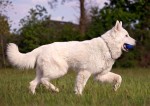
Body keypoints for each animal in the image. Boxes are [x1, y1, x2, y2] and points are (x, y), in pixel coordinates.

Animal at [6, 20, 136, 95]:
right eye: (126, 35)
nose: (136, 42)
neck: (107, 46)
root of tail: (42, 48)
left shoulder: (100, 76)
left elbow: (119, 78)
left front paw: (115, 88)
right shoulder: (84, 72)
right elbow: (80, 87)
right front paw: (79, 97)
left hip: (43, 72)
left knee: (33, 83)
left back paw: (34, 95)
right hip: (60, 70)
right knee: (43, 80)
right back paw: (55, 89)